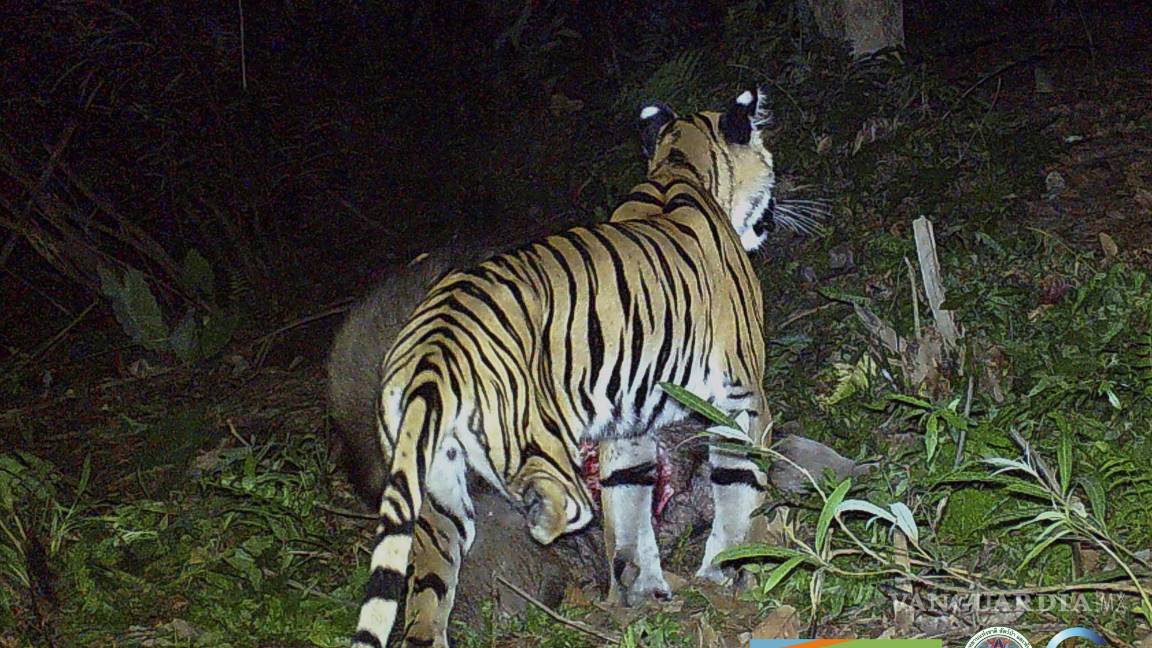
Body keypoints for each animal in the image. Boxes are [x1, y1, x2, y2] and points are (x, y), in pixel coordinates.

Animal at [352, 88, 777, 648]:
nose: (771, 216)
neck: (679, 162)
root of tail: (433, 344)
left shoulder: (628, 425)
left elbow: (629, 512)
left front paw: (639, 591)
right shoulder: (742, 396)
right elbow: (740, 489)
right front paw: (734, 571)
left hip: (432, 496)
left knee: (424, 601)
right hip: (536, 443)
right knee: (561, 502)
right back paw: (541, 519)